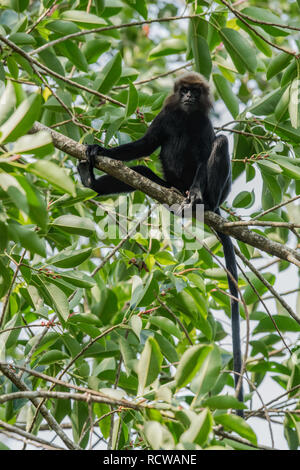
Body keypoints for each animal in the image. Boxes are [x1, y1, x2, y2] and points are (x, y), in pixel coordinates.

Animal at [78, 71, 244, 414]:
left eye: (196, 92)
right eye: (185, 91)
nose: (190, 97)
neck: (185, 117)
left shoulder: (203, 125)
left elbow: (204, 153)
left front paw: (197, 192)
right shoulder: (165, 118)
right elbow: (144, 146)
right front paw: (98, 150)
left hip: (217, 193)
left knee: (220, 144)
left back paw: (201, 203)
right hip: (165, 185)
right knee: (139, 171)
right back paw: (91, 182)